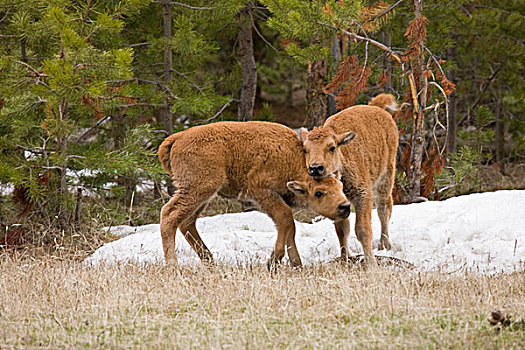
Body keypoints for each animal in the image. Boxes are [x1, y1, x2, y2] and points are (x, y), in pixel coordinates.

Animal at [158, 121, 350, 268]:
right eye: (318, 193)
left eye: (340, 186)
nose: (345, 206)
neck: (291, 159)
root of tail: (178, 137)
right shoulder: (261, 191)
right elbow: (285, 219)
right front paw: (273, 261)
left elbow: (291, 228)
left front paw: (297, 264)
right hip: (198, 189)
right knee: (169, 215)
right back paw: (173, 265)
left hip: (204, 194)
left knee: (187, 222)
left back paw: (210, 261)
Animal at [298, 104, 398, 268]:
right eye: (305, 149)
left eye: (332, 147)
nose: (315, 168)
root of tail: (382, 112)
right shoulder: (338, 203)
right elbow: (342, 230)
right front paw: (345, 257)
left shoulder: (362, 194)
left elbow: (363, 230)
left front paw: (371, 263)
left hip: (386, 176)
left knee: (384, 208)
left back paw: (385, 244)